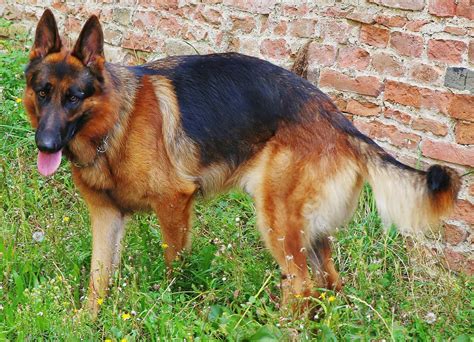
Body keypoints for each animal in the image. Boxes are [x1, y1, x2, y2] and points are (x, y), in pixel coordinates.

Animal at [23, 10, 460, 316]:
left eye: (74, 98)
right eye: (43, 92)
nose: (45, 145)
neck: (115, 123)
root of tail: (338, 121)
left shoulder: (174, 204)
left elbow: (172, 269)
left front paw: (164, 304)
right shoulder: (106, 216)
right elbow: (98, 280)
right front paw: (85, 321)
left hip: (277, 219)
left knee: (301, 285)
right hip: (307, 229)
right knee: (328, 282)